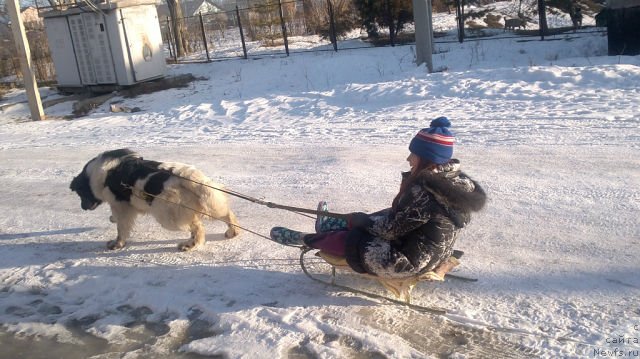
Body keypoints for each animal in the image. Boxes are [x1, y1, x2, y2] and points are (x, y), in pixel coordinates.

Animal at [70, 149, 240, 250]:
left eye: (80, 193)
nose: (83, 207)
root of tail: (188, 176)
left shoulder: (120, 205)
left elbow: (121, 228)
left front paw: (117, 243)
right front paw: (112, 220)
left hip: (166, 213)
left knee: (197, 227)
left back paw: (189, 245)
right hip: (209, 201)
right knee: (226, 214)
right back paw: (233, 231)